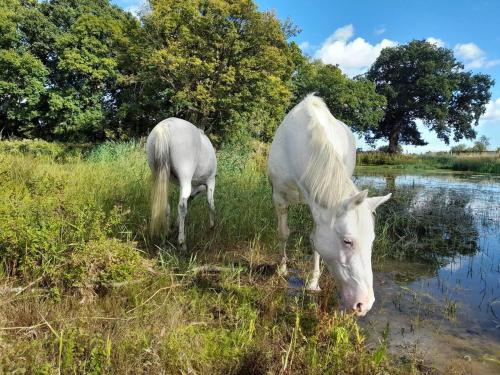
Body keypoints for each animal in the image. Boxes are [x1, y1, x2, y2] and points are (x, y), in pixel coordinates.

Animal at [145, 119, 215, 251]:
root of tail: (166, 125)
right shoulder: (211, 180)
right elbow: (210, 203)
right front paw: (212, 226)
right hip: (185, 175)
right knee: (182, 206)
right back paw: (182, 243)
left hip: (161, 176)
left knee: (168, 205)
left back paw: (166, 235)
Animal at [268, 94, 392, 318]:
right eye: (347, 241)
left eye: (372, 241)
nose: (364, 304)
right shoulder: (279, 197)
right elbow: (283, 233)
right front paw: (282, 269)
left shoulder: (318, 204)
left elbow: (315, 240)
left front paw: (313, 282)